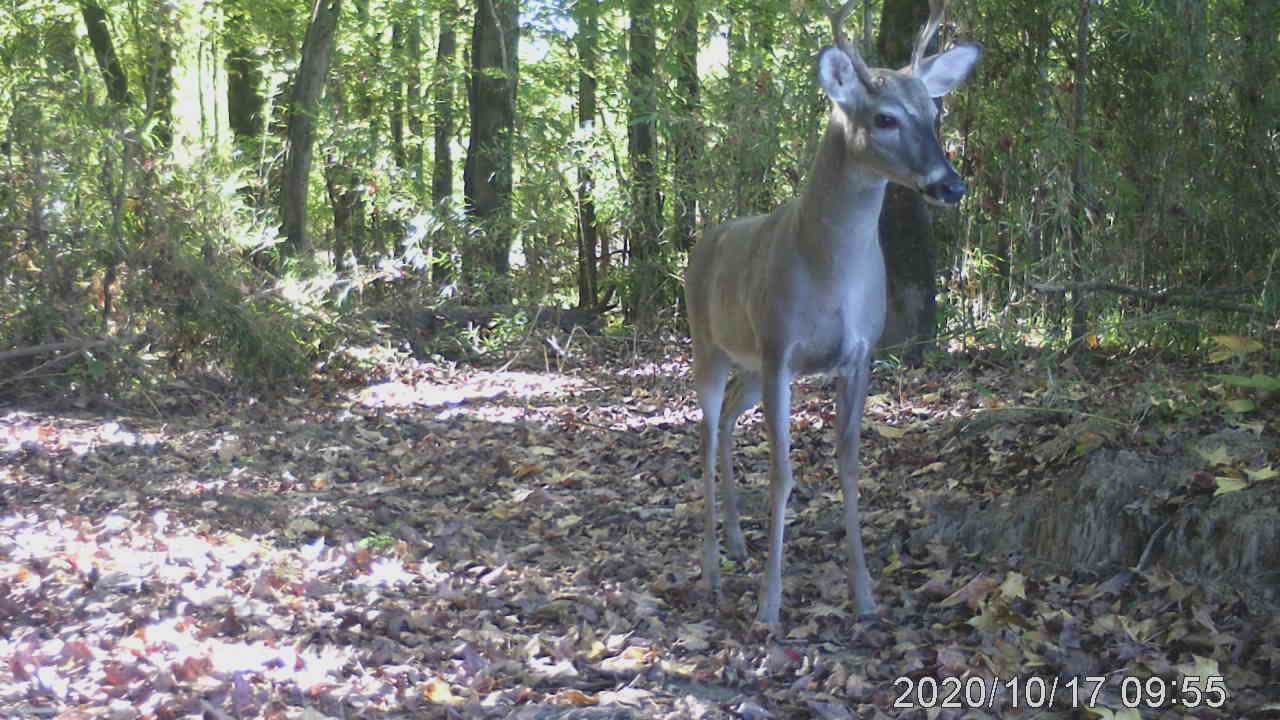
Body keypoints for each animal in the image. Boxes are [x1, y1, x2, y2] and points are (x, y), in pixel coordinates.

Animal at [691, 0, 977, 622]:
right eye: (885, 118)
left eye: (935, 111)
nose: (951, 185)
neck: (829, 273)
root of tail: (706, 238)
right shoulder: (780, 349)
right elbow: (782, 472)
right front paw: (769, 605)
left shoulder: (859, 353)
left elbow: (849, 464)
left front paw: (865, 595)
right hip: (709, 345)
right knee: (704, 432)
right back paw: (711, 569)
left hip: (749, 365)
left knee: (727, 421)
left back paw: (737, 543)